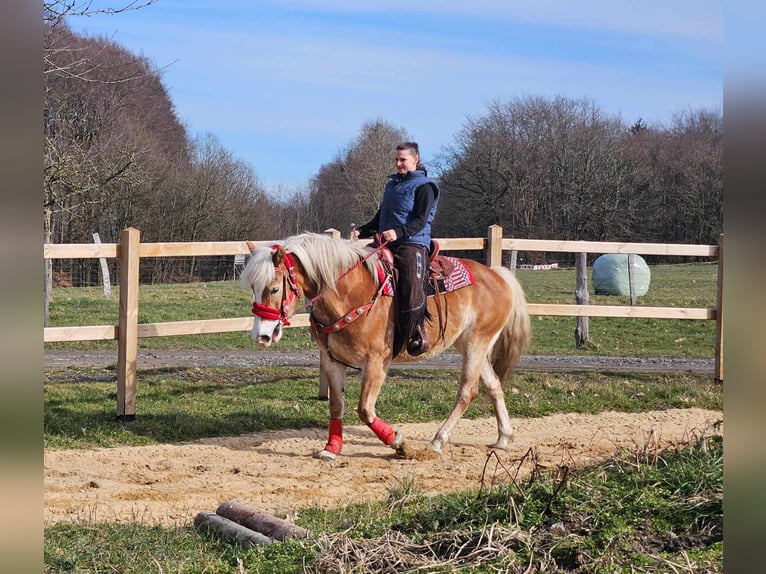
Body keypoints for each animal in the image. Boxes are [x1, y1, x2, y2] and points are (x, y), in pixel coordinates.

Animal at [243, 232, 532, 462]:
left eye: (274, 288)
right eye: (254, 288)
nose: (262, 336)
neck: (350, 293)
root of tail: (497, 274)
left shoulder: (376, 362)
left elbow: (364, 409)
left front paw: (399, 442)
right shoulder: (333, 361)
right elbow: (336, 405)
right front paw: (332, 447)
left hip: (476, 343)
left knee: (467, 392)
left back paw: (438, 441)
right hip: (472, 344)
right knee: (493, 386)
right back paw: (503, 437)